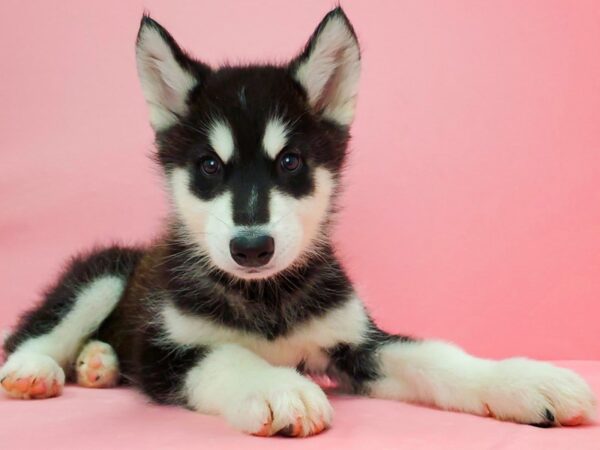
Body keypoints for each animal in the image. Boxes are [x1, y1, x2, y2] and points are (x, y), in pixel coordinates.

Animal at [2, 7, 596, 436]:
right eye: (209, 166)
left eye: (289, 162)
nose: (251, 248)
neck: (266, 298)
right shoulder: (163, 354)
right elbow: (226, 356)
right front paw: (275, 387)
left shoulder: (361, 339)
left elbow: (436, 356)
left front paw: (521, 379)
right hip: (104, 275)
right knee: (32, 333)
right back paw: (38, 370)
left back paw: (97, 362)